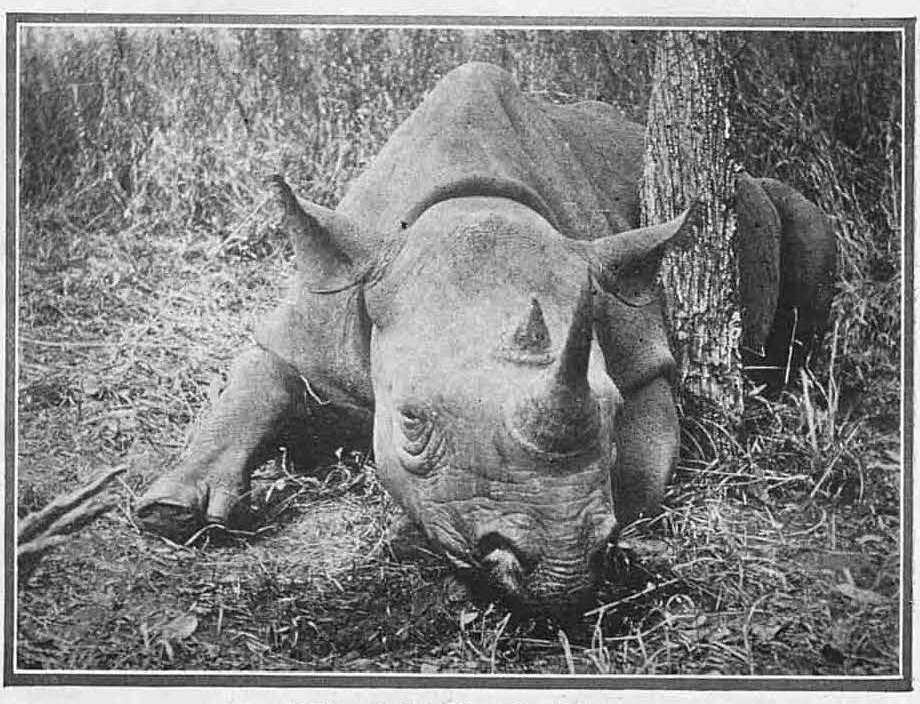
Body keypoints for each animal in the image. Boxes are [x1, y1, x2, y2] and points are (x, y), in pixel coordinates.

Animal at [135, 62, 834, 611]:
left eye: (611, 410)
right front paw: (170, 511)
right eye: (410, 420)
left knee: (811, 224)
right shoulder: (331, 294)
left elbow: (641, 468)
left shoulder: (637, 344)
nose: (557, 567)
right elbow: (253, 383)